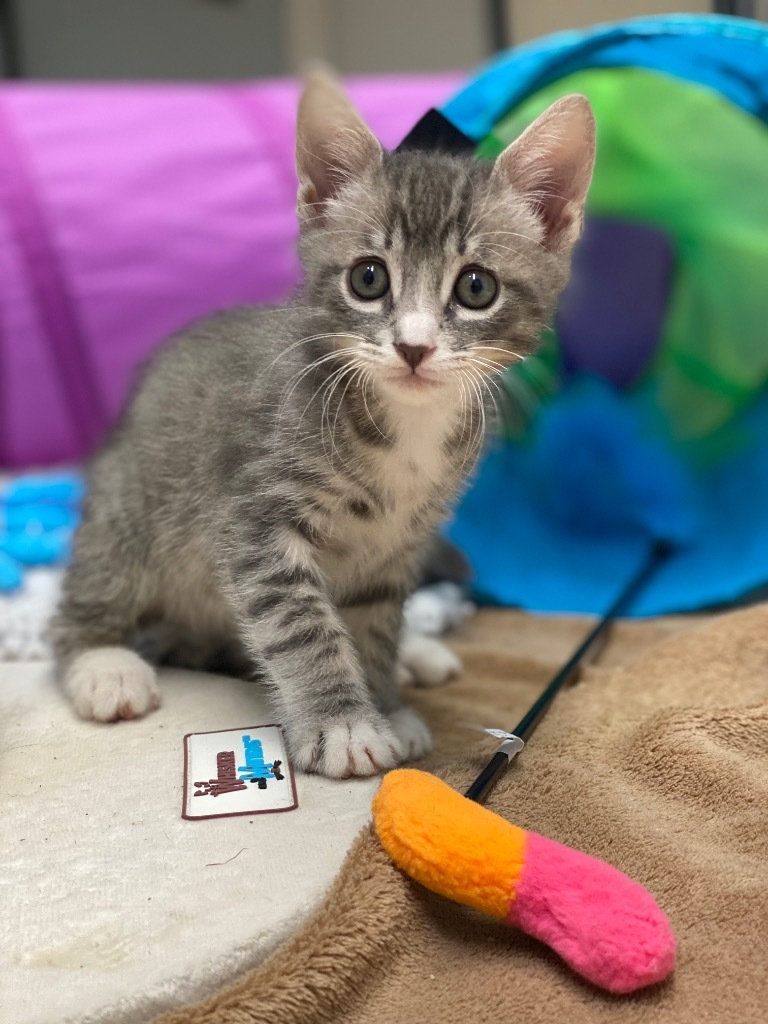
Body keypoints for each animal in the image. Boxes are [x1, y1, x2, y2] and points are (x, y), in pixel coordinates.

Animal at [52, 74, 593, 774]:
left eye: (477, 288)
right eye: (368, 278)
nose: (414, 347)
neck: (405, 425)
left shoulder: (396, 546)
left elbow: (374, 624)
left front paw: (385, 702)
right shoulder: (256, 519)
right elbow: (300, 625)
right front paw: (345, 726)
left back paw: (418, 655)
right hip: (132, 513)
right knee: (86, 603)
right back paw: (105, 665)